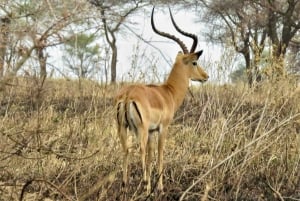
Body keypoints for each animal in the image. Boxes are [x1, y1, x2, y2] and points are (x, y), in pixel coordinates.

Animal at [115, 7, 209, 194]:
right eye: (195, 62)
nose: (205, 76)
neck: (168, 92)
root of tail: (128, 94)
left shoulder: (152, 131)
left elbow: (151, 157)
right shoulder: (162, 128)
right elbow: (159, 155)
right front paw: (159, 187)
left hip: (123, 127)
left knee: (125, 150)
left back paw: (124, 186)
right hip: (140, 129)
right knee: (140, 150)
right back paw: (144, 184)